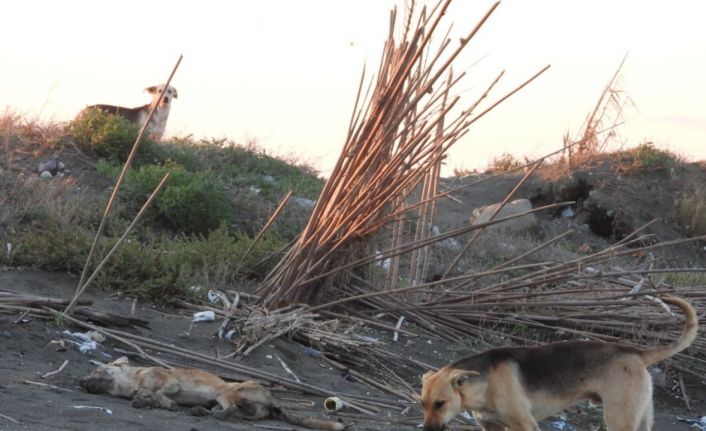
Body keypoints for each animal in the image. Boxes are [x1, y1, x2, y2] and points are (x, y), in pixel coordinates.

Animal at [80, 358, 344, 431]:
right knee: (228, 413)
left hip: (228, 394)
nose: (81, 381)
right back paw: (199, 411)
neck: (133, 379)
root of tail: (273, 398)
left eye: (97, 370)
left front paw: (158, 401)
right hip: (231, 404)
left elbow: (154, 392)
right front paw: (148, 401)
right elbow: (146, 395)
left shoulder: (170, 382)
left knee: (228, 411)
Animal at [420, 296, 696, 431]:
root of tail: (636, 352)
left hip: (620, 420)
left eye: (440, 403)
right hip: (640, 419)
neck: (485, 383)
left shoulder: (525, 425)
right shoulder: (492, 427)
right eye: (422, 404)